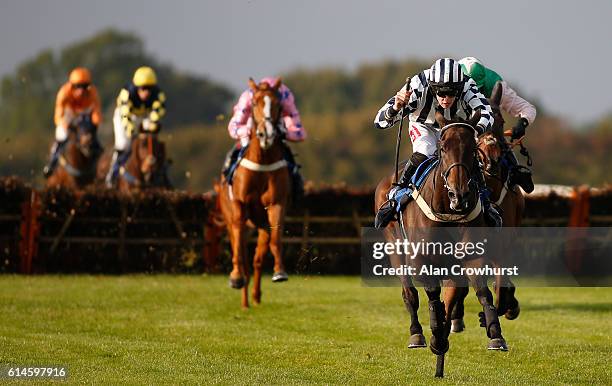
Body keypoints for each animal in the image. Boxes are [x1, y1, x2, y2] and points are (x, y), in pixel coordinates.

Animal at [218, 77, 290, 310]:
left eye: (278, 104)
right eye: (255, 103)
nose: (267, 133)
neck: (263, 160)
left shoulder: (276, 204)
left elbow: (275, 240)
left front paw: (279, 272)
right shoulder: (239, 206)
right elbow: (238, 250)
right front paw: (235, 278)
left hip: (260, 223)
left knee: (257, 260)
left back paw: (255, 297)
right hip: (231, 217)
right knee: (239, 249)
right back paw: (243, 295)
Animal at [372, 117, 506, 376]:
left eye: (472, 150)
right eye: (443, 148)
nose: (458, 194)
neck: (448, 211)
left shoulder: (470, 257)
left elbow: (480, 292)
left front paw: (495, 334)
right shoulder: (421, 260)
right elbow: (432, 297)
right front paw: (434, 337)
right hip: (395, 247)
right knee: (409, 294)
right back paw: (417, 334)